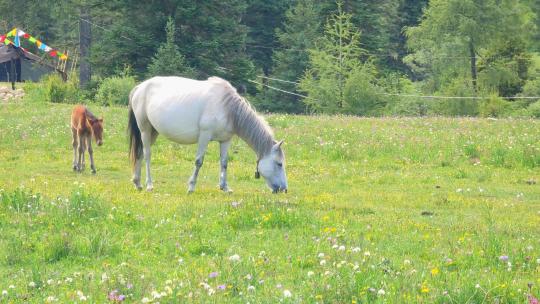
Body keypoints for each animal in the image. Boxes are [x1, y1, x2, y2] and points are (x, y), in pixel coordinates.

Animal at [127, 75, 286, 192]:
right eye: (279, 164)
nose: (284, 189)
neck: (227, 108)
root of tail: (140, 87)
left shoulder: (225, 140)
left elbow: (224, 163)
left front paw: (225, 187)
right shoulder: (204, 136)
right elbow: (199, 161)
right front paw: (191, 186)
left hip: (153, 132)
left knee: (140, 153)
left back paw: (137, 183)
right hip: (145, 129)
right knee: (147, 154)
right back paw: (149, 185)